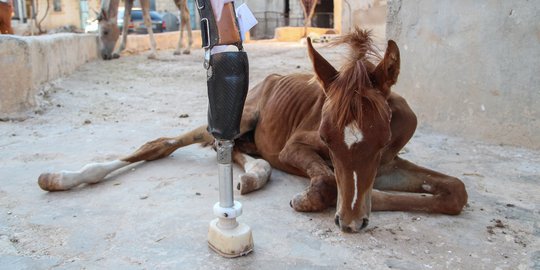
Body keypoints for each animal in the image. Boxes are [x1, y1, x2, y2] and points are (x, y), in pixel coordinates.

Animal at [39, 28, 468, 233]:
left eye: (380, 142)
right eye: (327, 138)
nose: (349, 223)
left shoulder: (389, 163)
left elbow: (456, 191)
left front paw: (367, 202)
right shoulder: (296, 146)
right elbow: (330, 180)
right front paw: (324, 199)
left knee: (231, 149)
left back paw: (255, 176)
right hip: (239, 117)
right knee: (168, 143)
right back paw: (59, 177)